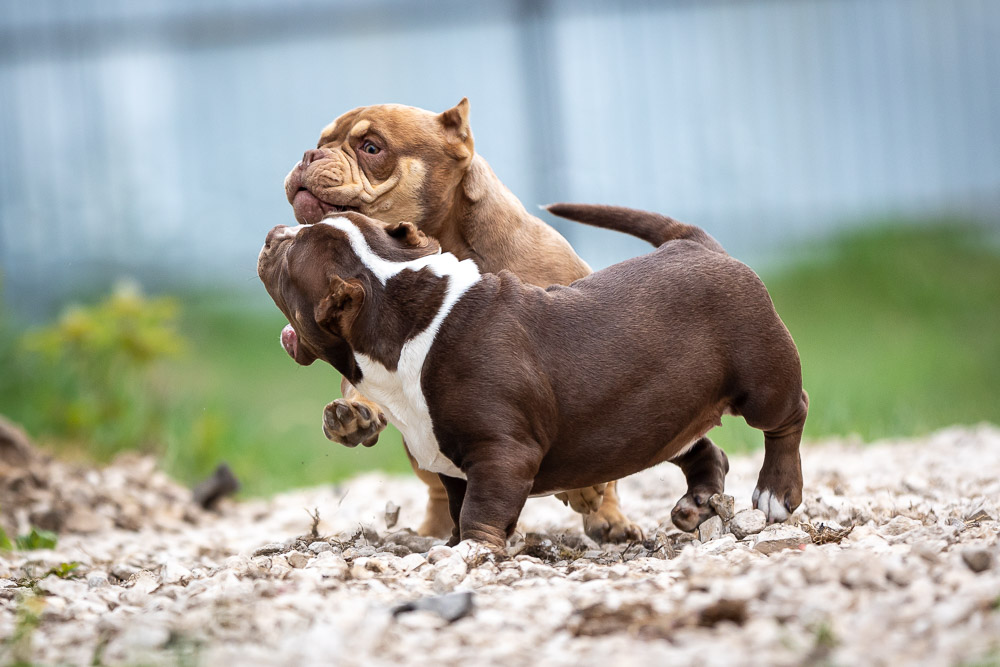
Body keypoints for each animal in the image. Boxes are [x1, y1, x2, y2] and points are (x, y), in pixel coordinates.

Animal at [258, 205, 808, 550]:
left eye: (290, 257)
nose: (272, 234)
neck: (400, 306)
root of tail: (694, 243)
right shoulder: (451, 461)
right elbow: (458, 505)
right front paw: (455, 546)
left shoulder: (502, 453)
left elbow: (479, 510)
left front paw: (473, 552)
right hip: (663, 414)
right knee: (704, 449)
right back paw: (695, 505)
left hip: (763, 381)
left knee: (788, 418)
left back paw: (776, 493)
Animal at [284, 99, 689, 541]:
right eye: (322, 140)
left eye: (371, 147)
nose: (309, 154)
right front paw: (354, 412)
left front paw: (586, 495)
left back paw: (607, 517)